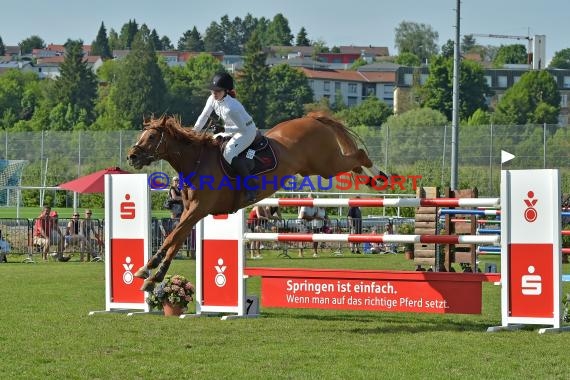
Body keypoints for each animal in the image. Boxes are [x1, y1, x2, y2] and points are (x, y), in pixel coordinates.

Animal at [127, 111, 384, 290]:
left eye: (152, 136)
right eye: (141, 135)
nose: (132, 157)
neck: (196, 161)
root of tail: (312, 118)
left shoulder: (198, 210)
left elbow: (172, 237)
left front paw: (149, 271)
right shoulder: (191, 212)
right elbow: (175, 239)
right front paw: (152, 274)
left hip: (325, 164)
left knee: (359, 155)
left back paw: (381, 176)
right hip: (318, 166)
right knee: (354, 161)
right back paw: (372, 178)